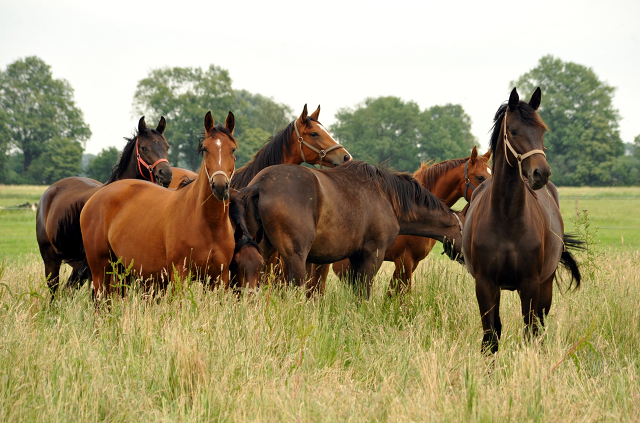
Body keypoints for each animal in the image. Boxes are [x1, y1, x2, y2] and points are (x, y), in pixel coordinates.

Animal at [34, 116, 170, 294]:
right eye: (144, 147)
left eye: (166, 147)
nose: (166, 174)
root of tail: (51, 190)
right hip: (52, 261)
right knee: (55, 291)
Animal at [80, 112, 238, 298]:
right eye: (205, 149)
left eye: (233, 149)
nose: (219, 186)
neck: (209, 223)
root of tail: (95, 197)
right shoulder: (179, 274)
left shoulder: (219, 278)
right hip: (100, 269)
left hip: (120, 269)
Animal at [238, 161, 462, 300]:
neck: (387, 197)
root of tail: (260, 185)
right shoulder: (373, 256)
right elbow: (365, 294)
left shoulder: (355, 259)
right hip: (295, 258)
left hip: (262, 253)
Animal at [462, 88, 584, 354]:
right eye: (514, 131)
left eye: (541, 130)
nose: (541, 173)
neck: (507, 219)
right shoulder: (485, 285)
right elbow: (490, 337)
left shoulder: (531, 285)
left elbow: (530, 333)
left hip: (546, 285)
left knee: (539, 327)